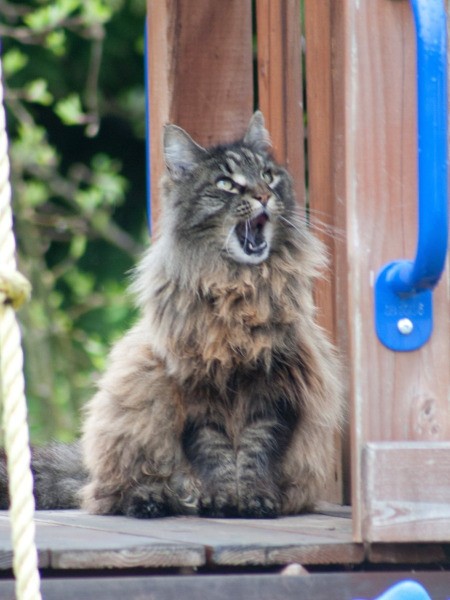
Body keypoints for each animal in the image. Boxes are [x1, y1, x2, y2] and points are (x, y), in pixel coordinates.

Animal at [0, 110, 344, 516]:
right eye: (226, 183)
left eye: (268, 175)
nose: (263, 195)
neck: (236, 288)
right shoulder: (193, 383)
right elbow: (216, 455)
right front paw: (223, 500)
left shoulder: (275, 385)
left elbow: (255, 452)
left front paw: (254, 500)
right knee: (113, 492)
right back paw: (153, 501)